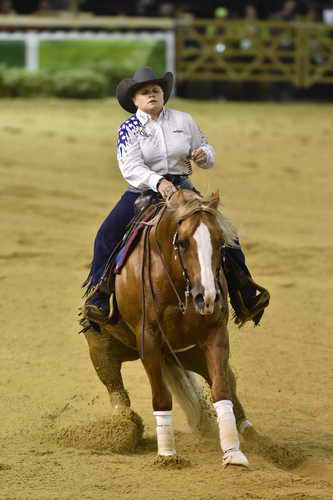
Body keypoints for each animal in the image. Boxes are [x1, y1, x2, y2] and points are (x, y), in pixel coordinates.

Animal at [83, 189, 252, 466]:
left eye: (220, 241)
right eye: (181, 242)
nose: (207, 297)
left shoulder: (215, 335)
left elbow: (221, 388)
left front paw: (233, 453)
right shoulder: (149, 341)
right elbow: (161, 397)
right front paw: (167, 455)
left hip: (190, 354)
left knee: (228, 381)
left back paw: (254, 435)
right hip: (102, 350)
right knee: (118, 393)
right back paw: (124, 427)